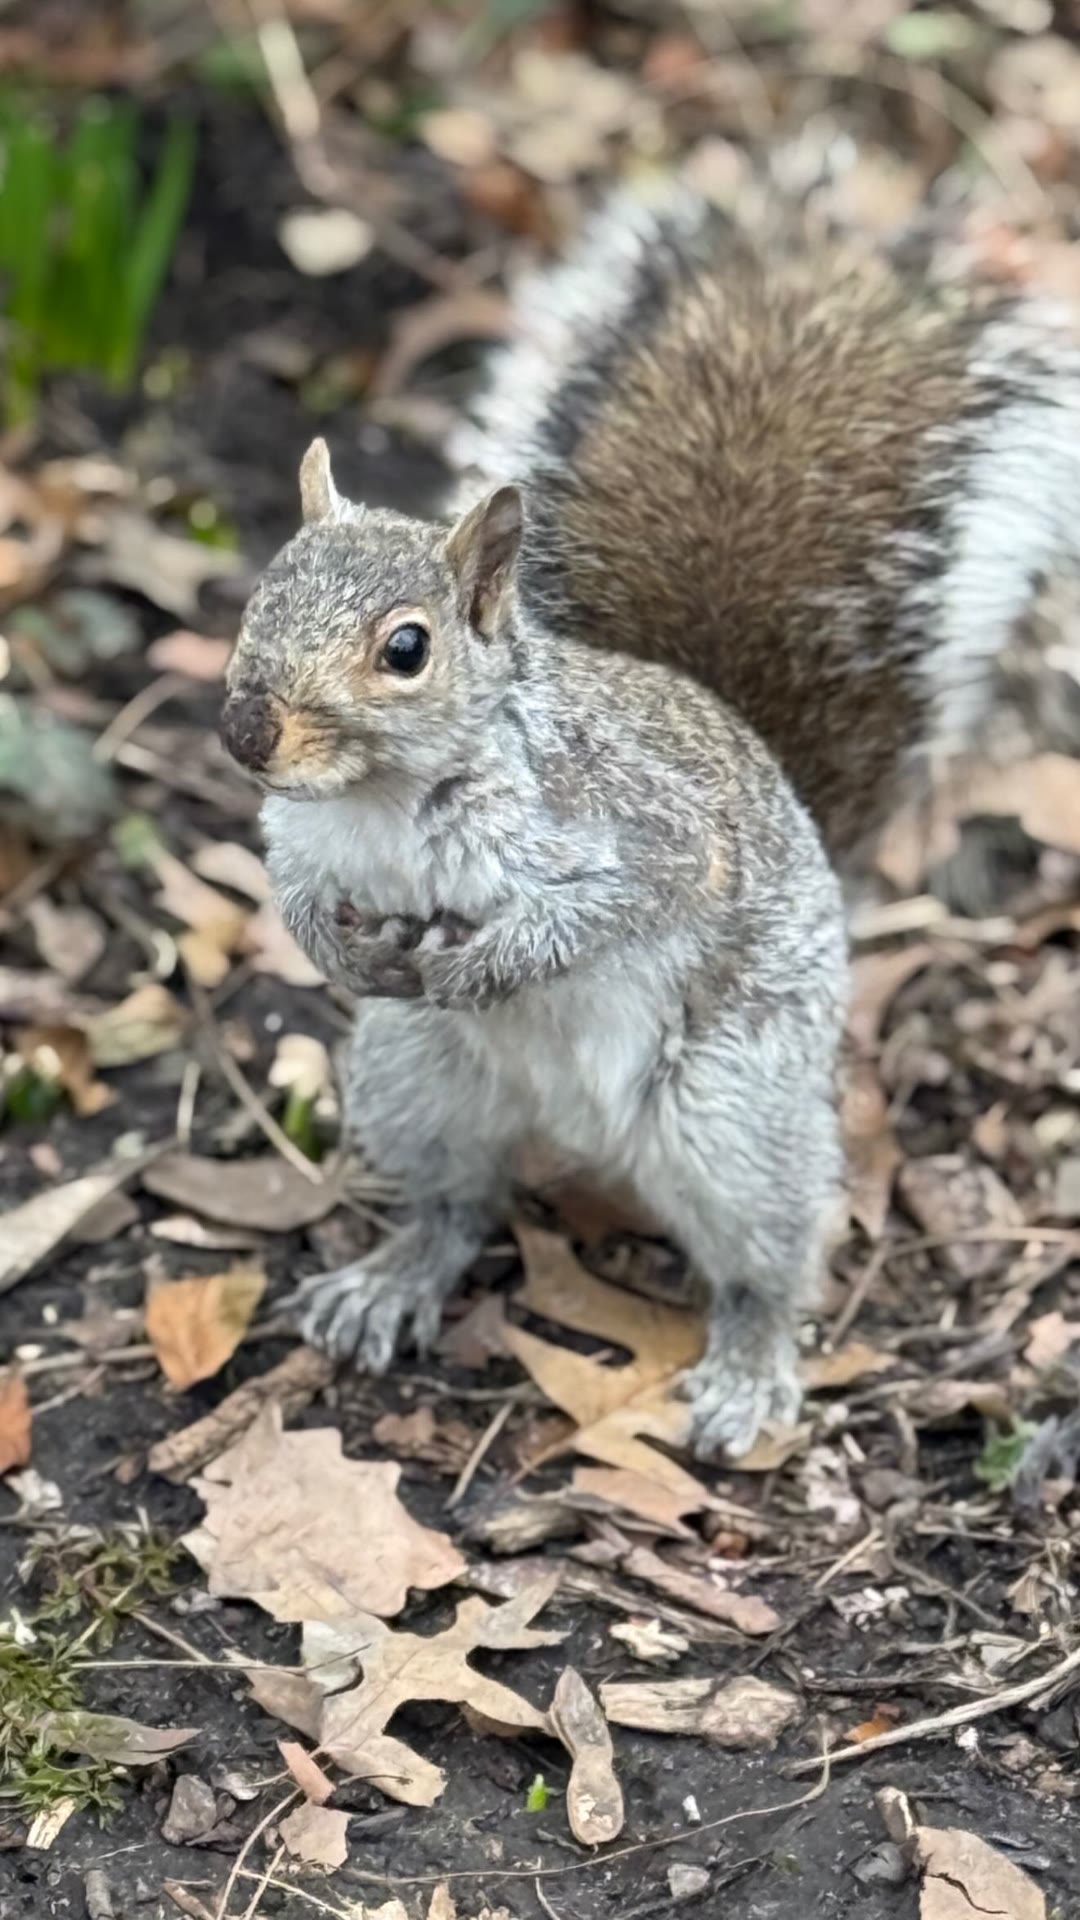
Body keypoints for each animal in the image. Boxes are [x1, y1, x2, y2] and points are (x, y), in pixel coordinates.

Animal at [220, 183, 1080, 1458]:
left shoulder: (645, 824)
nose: (247, 731)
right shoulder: (302, 837)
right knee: (456, 1205)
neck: (384, 803)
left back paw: (750, 1370)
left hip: (731, 1114)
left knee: (773, 1255)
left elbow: (616, 904)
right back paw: (391, 1279)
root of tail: (582, 1136)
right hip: (415, 1080)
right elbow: (293, 893)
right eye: (258, 595)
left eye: (406, 649)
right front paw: (338, 948)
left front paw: (491, 966)